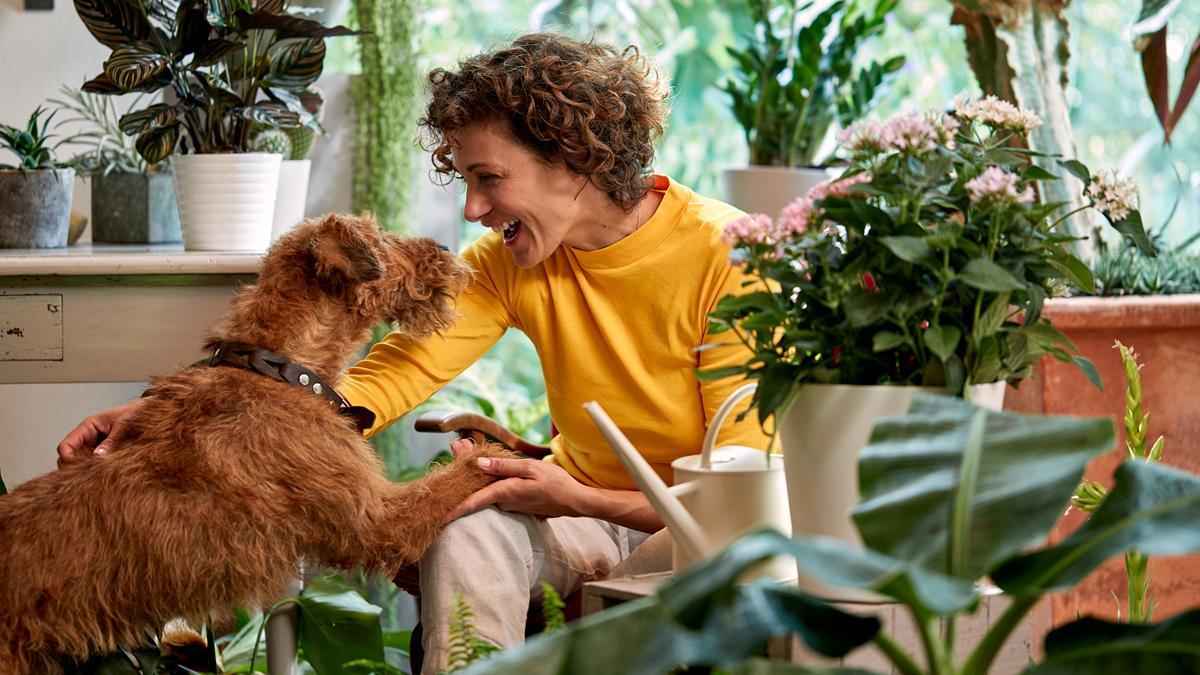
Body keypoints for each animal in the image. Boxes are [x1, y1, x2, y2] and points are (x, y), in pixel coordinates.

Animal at [0, 212, 511, 667]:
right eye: (381, 237)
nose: (444, 247)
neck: (278, 366)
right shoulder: (379, 519)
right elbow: (449, 481)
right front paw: (496, 453)